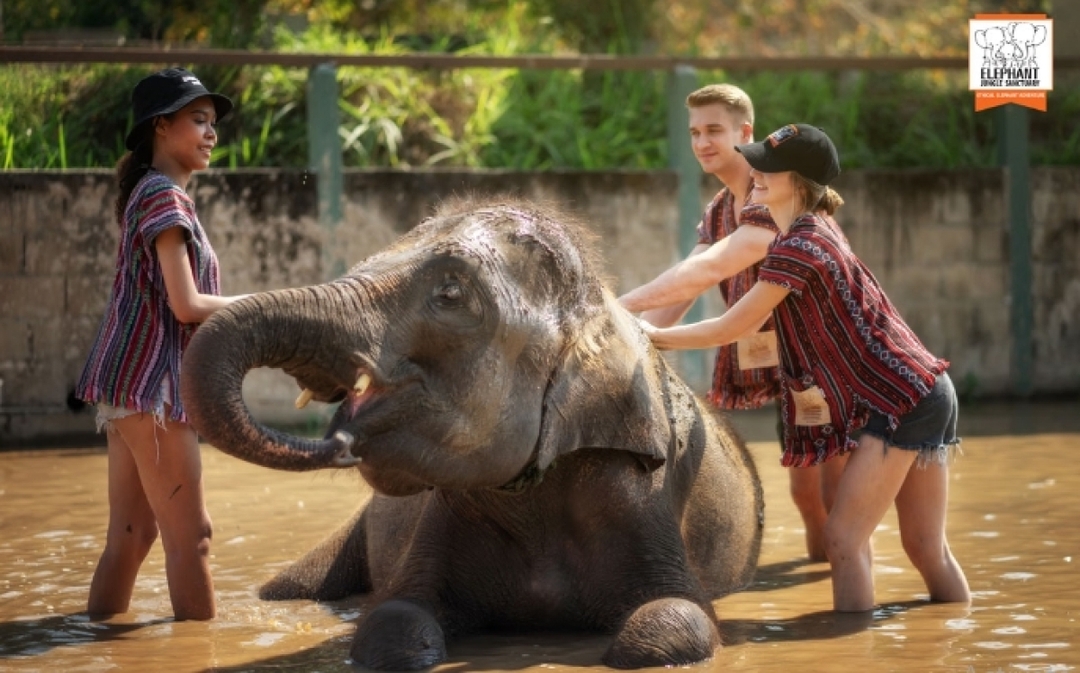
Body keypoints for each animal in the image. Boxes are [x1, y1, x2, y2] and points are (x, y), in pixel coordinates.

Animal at [180, 197, 765, 670]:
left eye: (450, 294)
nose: (341, 438)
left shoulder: (640, 493)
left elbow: (679, 619)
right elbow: (392, 621)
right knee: (284, 588)